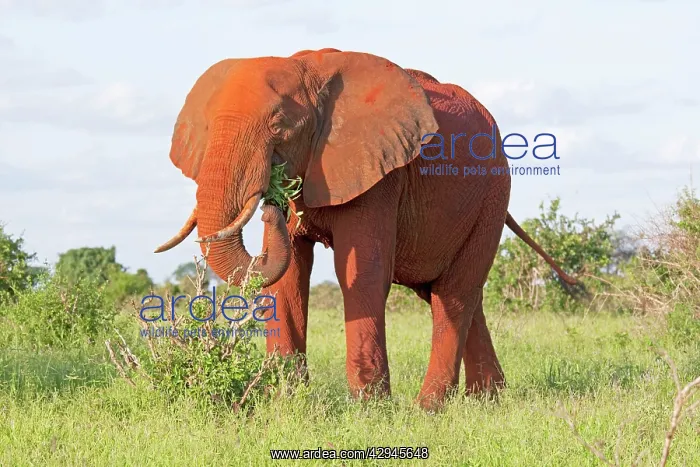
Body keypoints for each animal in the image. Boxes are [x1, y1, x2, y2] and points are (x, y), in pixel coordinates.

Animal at [154, 48, 577, 410]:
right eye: (207, 127)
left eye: (279, 125)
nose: (271, 204)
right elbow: (288, 275)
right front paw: (285, 402)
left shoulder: (381, 174)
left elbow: (362, 272)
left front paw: (370, 410)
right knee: (455, 294)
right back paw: (488, 400)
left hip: (492, 195)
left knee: (454, 295)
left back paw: (429, 408)